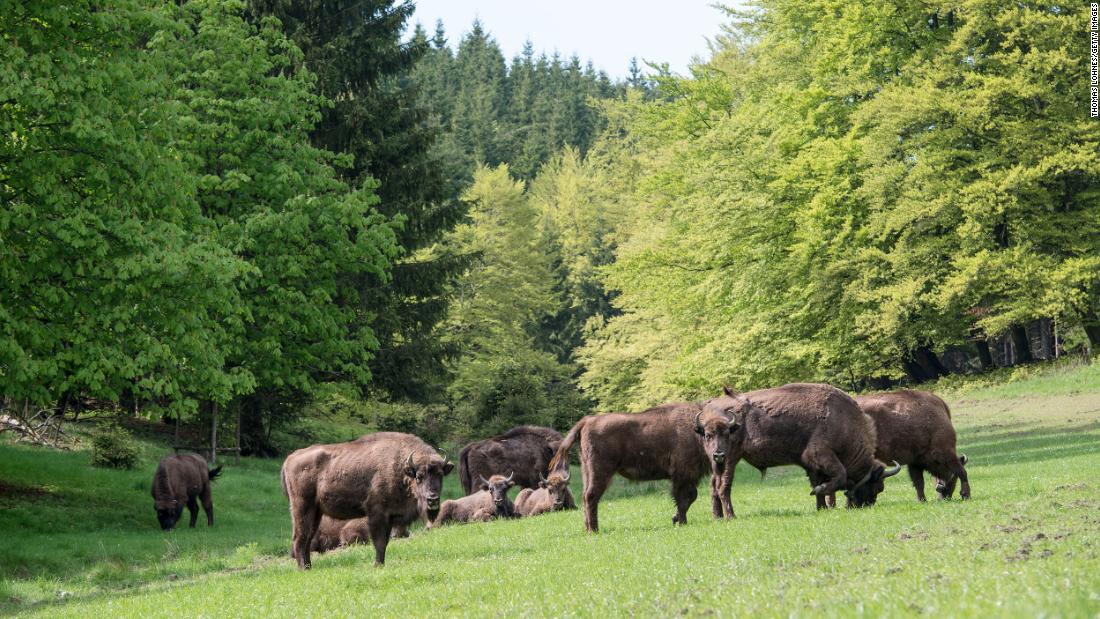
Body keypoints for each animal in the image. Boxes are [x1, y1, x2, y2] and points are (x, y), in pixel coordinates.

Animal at [545, 402, 708, 532]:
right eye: (710, 435)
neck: (695, 429)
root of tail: (588, 420)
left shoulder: (689, 476)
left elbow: (690, 497)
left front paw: (676, 519)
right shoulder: (682, 475)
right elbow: (684, 498)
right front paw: (681, 522)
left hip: (587, 471)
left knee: (585, 497)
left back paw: (588, 528)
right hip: (601, 472)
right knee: (591, 496)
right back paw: (594, 530)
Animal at [695, 382, 902, 518]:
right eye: (876, 487)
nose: (865, 505)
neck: (843, 420)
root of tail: (709, 407)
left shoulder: (811, 464)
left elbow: (819, 480)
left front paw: (821, 507)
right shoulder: (820, 453)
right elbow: (838, 476)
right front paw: (820, 493)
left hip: (717, 461)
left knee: (714, 486)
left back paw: (717, 517)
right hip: (729, 458)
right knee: (723, 486)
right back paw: (731, 516)